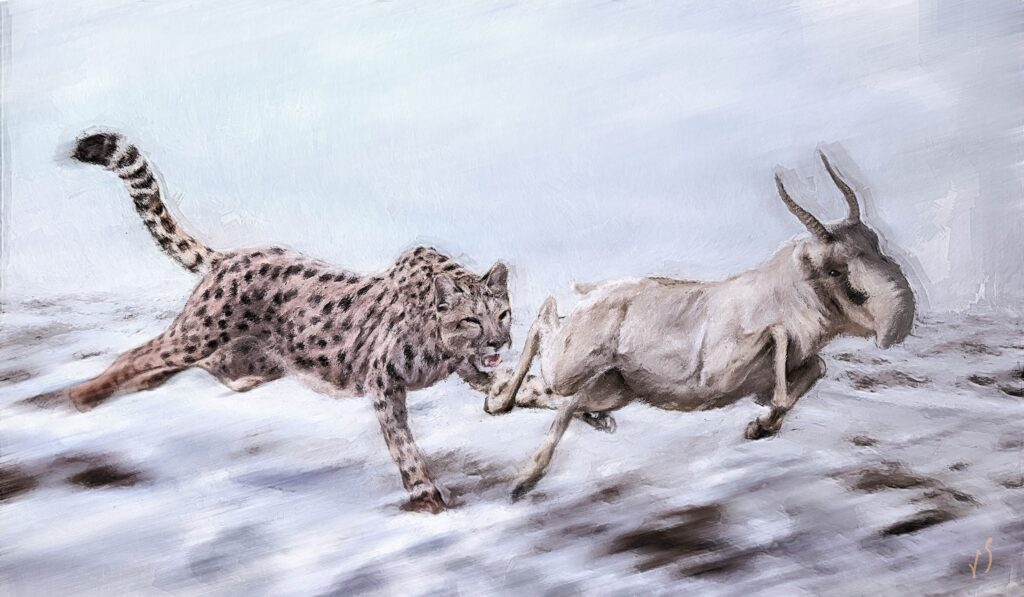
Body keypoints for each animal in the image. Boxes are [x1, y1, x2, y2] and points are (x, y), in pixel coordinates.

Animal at [487, 151, 916, 500]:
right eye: (834, 269)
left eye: (875, 243)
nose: (898, 324)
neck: (788, 290)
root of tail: (592, 292)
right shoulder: (718, 370)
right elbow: (778, 340)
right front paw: (762, 421)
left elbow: (815, 368)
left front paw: (761, 426)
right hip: (568, 365)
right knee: (545, 326)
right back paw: (512, 439)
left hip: (616, 388)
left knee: (565, 398)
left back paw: (582, 421)